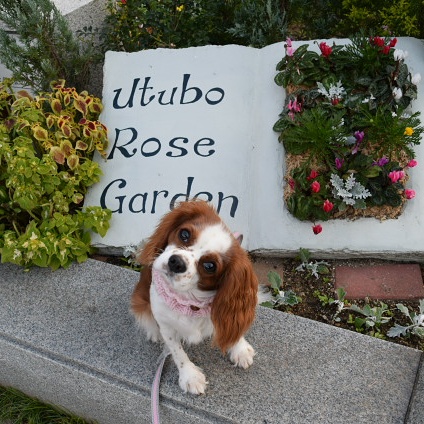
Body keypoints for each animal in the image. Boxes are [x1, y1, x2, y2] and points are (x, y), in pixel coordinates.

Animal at [131, 201, 258, 394]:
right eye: (184, 234)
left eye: (209, 266)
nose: (176, 262)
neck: (189, 301)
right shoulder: (167, 327)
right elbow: (178, 352)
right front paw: (190, 376)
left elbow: (234, 327)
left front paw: (240, 348)